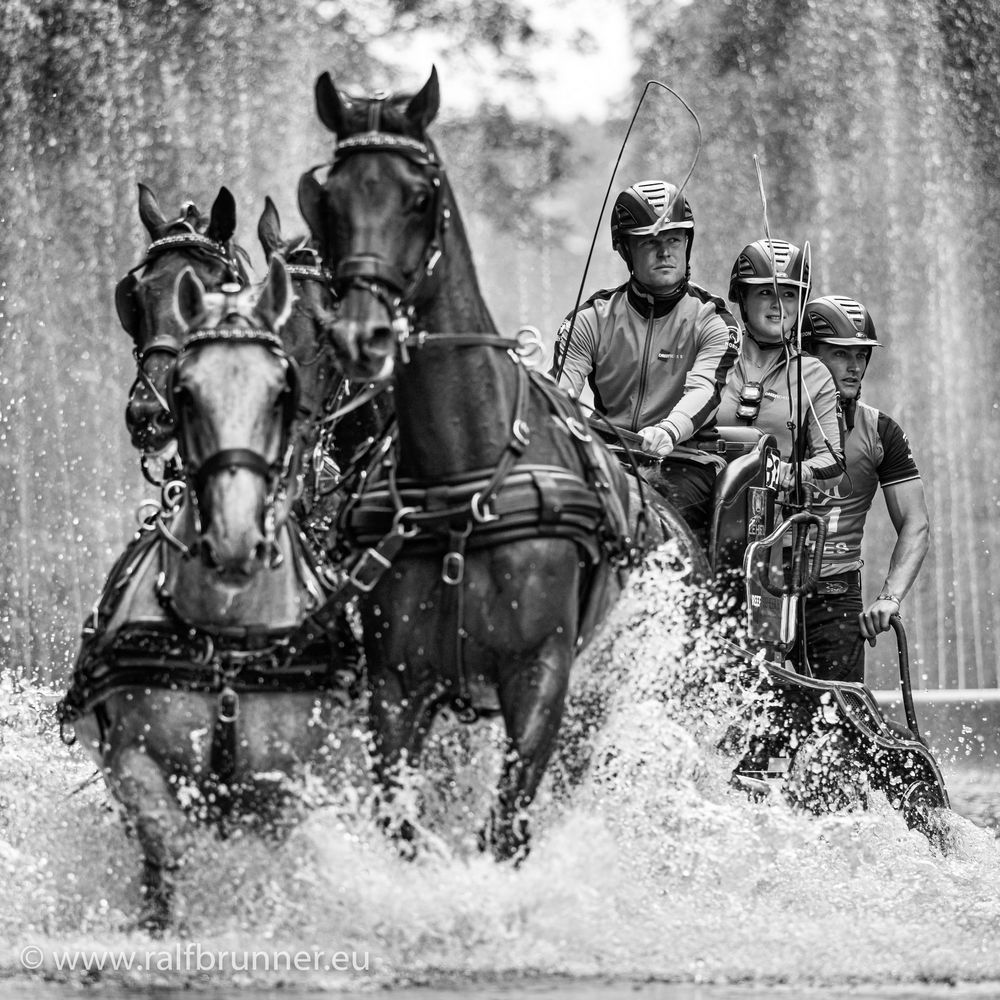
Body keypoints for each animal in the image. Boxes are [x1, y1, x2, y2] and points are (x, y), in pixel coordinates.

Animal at [58, 256, 350, 928]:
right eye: (190, 392)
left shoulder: (285, 787)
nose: (235, 537)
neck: (229, 635)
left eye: (280, 390)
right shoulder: (135, 763)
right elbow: (164, 848)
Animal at [296, 68, 704, 860]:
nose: (363, 334)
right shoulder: (396, 686)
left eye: (419, 195)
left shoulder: (540, 675)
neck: (466, 479)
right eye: (329, 198)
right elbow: (402, 824)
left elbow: (505, 830)